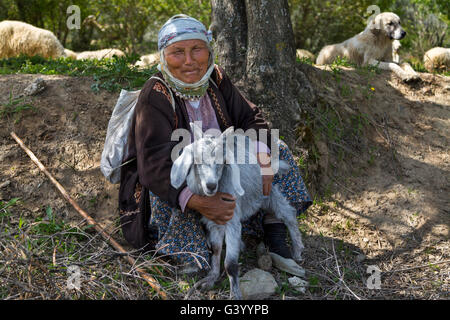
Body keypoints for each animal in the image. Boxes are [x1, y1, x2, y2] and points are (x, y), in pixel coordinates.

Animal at [171, 123, 304, 300]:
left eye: (221, 162)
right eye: (198, 161)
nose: (211, 185)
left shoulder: (231, 222)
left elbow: (230, 264)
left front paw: (235, 294)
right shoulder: (214, 222)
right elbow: (215, 250)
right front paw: (211, 278)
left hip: (268, 192)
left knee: (288, 213)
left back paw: (297, 250)